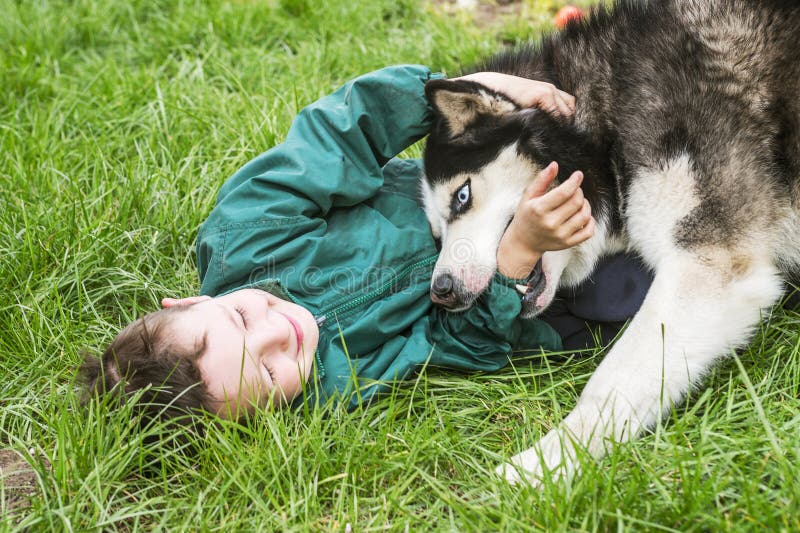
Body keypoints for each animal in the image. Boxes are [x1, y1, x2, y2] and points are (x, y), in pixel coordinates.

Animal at [422, 0, 796, 484]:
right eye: (436, 234)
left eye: (462, 197)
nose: (441, 291)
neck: (605, 127)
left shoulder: (708, 265)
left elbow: (610, 383)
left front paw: (539, 470)